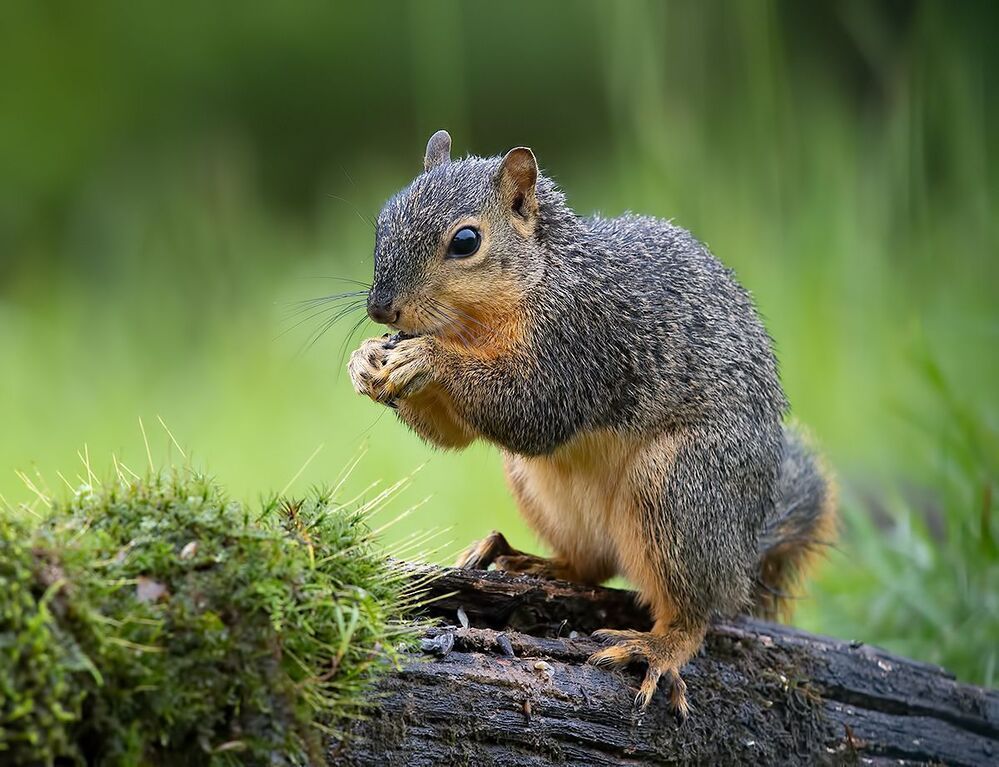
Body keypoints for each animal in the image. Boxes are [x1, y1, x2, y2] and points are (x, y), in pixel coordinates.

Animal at [348, 130, 836, 717]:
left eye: (466, 241)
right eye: (383, 218)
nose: (381, 310)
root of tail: (744, 555)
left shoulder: (583, 340)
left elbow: (531, 409)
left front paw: (428, 359)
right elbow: (457, 435)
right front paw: (364, 363)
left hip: (680, 488)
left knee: (698, 611)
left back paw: (657, 646)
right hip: (544, 491)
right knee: (590, 565)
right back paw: (529, 563)